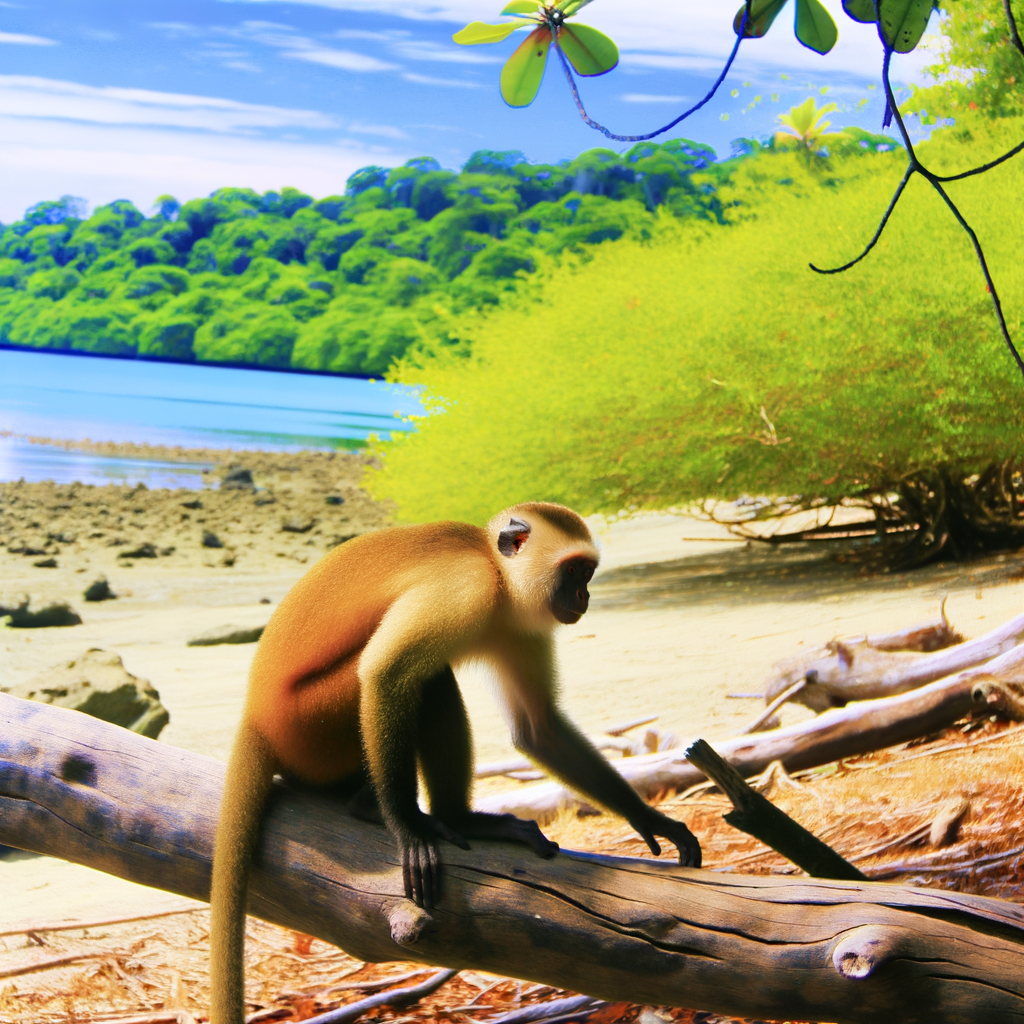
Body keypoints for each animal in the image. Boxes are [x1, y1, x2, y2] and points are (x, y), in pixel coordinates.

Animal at [209, 501, 701, 1024]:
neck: (496, 574)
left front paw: (650, 818)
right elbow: (384, 675)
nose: (584, 596)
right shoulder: (466, 586)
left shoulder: (522, 620)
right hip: (309, 724)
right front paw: (408, 829)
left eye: (587, 573)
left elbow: (539, 728)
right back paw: (422, 814)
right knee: (426, 679)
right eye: (574, 572)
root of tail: (257, 716)